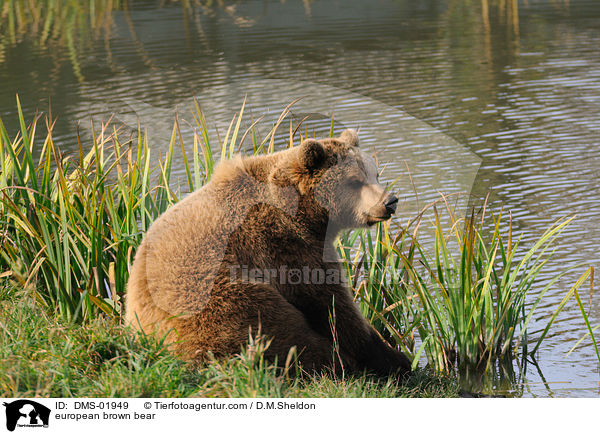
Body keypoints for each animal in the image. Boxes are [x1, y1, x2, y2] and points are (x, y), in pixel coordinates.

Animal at [124, 128, 410, 376]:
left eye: (375, 174)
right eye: (354, 181)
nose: (390, 202)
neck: (307, 213)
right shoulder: (282, 244)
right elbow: (330, 303)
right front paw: (393, 358)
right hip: (224, 303)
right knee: (280, 333)